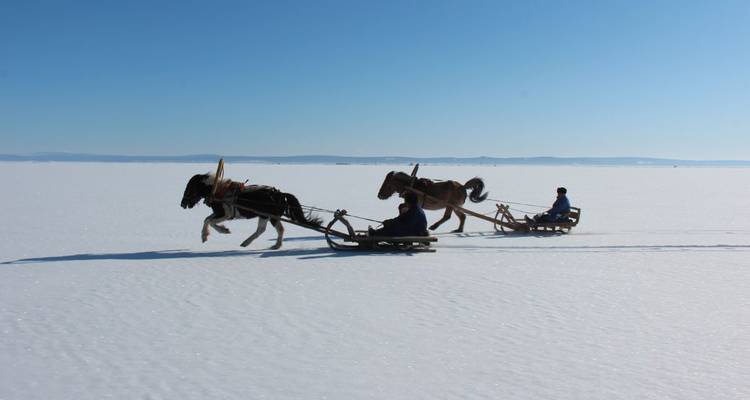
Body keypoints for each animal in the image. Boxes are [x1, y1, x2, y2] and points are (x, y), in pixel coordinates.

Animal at [180, 173, 322, 249]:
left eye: (189, 188)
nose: (182, 204)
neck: (217, 190)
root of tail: (281, 194)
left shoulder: (225, 214)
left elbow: (208, 221)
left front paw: (207, 235)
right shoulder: (220, 214)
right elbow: (208, 219)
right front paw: (223, 230)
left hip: (271, 216)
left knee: (277, 229)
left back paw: (275, 245)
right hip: (265, 216)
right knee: (263, 230)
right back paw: (248, 243)